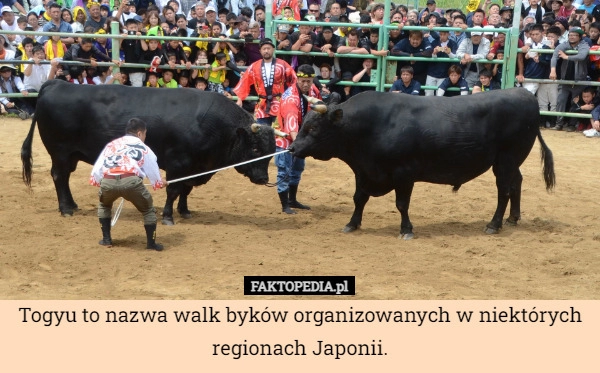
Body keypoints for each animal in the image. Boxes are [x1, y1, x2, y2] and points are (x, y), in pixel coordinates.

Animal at [21, 79, 278, 224]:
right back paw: (66, 209)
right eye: (255, 148)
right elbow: (174, 190)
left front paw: (185, 211)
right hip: (60, 153)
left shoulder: (194, 168)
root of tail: (56, 84)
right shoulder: (178, 163)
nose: (263, 178)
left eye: (272, 151)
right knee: (59, 177)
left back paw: (72, 205)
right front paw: (168, 216)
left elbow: (186, 190)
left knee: (63, 179)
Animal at [288, 88, 556, 237]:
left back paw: (494, 224)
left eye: (312, 128)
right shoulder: (364, 172)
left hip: (506, 160)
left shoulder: (404, 173)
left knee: (504, 190)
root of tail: (525, 95)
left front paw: (406, 230)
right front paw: (352, 224)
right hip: (512, 161)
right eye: (303, 124)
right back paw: (513, 218)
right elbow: (359, 199)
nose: (292, 148)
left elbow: (401, 204)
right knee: (516, 183)